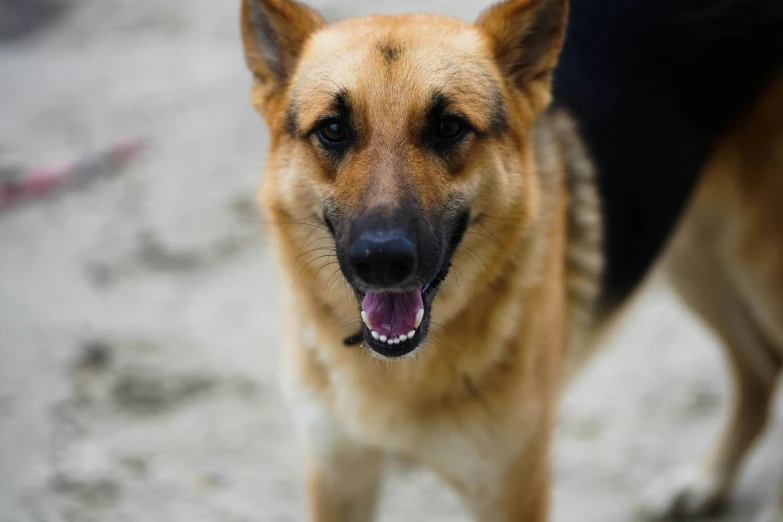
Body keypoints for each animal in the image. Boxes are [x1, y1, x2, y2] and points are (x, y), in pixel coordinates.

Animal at [239, 0, 783, 516]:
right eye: (333, 130)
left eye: (448, 127)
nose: (382, 261)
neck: (403, 371)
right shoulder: (339, 474)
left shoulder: (510, 490)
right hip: (694, 258)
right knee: (759, 369)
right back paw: (706, 481)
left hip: (756, 269)